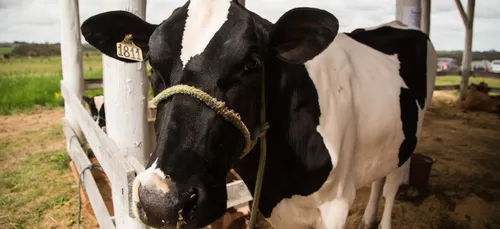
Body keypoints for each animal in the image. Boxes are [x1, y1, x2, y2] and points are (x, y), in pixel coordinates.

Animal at [80, 0, 436, 228]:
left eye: (252, 63)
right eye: (152, 63)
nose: (161, 202)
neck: (282, 179)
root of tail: (397, 24)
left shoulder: (336, 205)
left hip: (412, 134)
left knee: (392, 184)